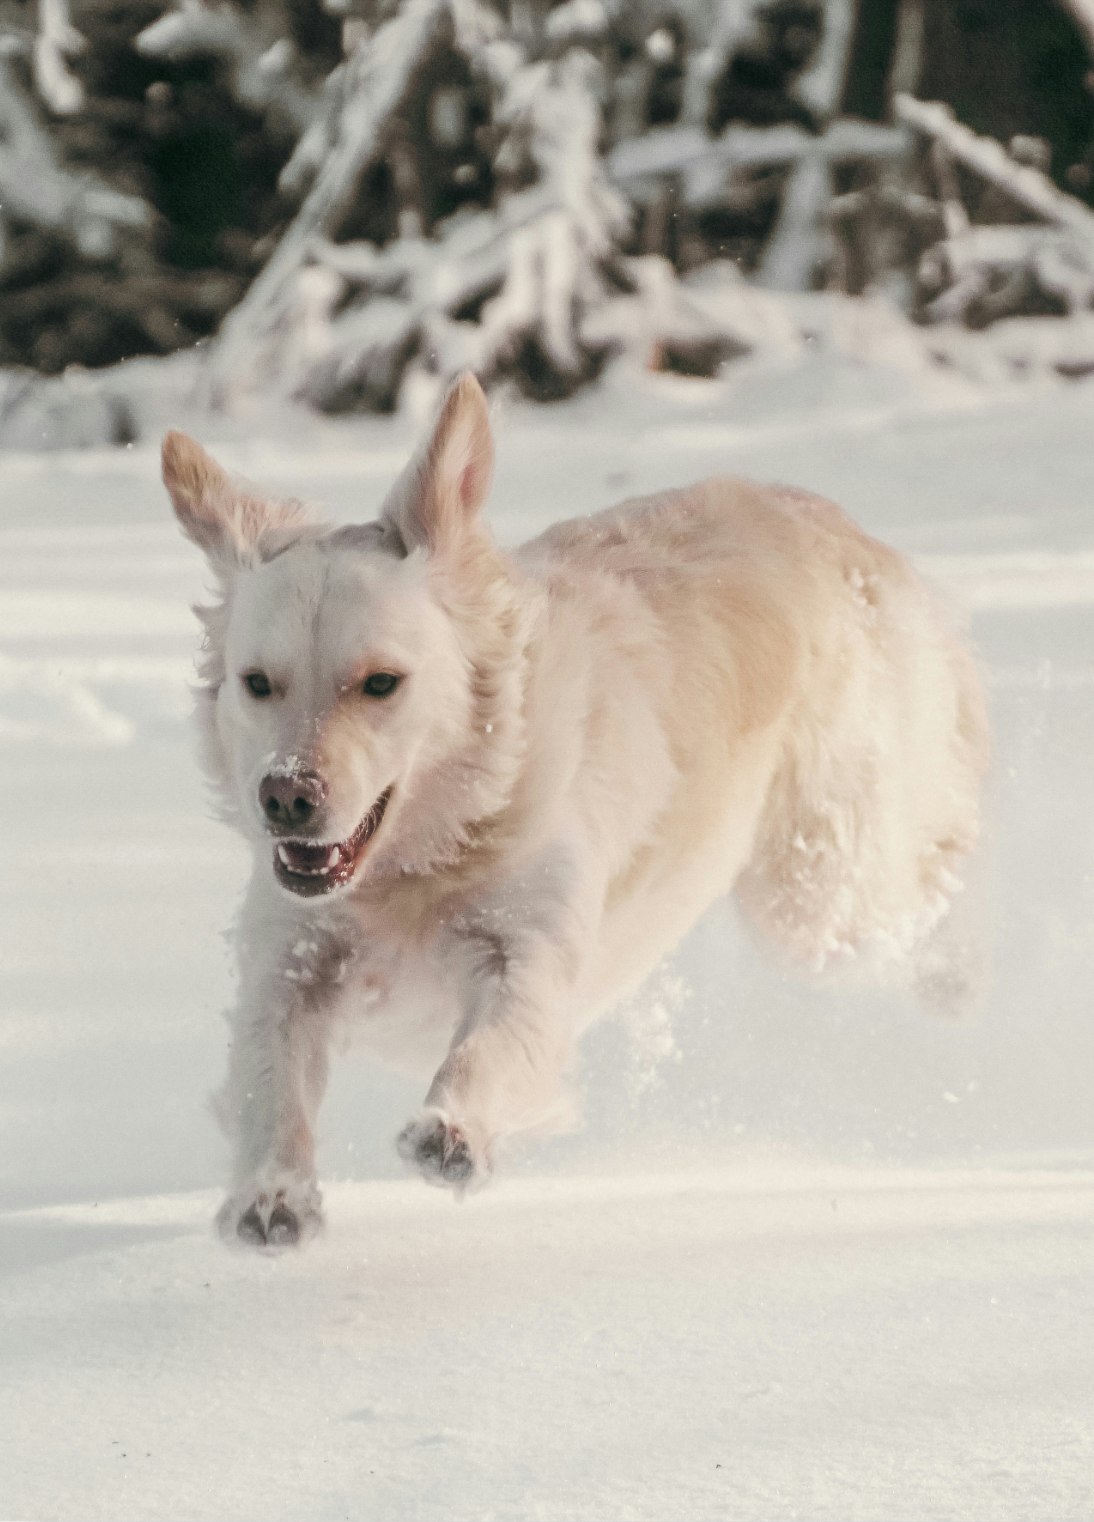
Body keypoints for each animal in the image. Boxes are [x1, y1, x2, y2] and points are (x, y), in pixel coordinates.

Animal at [165, 374, 992, 1241]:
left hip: (811, 896)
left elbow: (492, 1045)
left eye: (381, 683)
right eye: (258, 683)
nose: (286, 797)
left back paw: (959, 974)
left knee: (920, 885)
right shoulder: (288, 963)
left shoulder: (529, 953)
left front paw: (452, 1132)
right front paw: (270, 1196)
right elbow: (269, 1081)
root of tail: (839, 525)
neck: (424, 857)